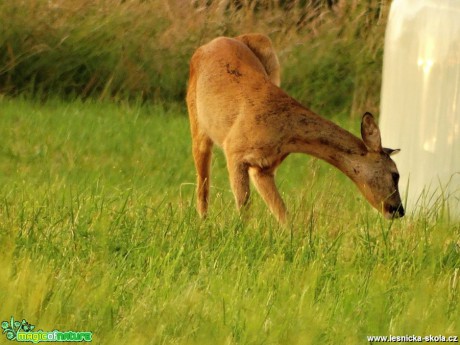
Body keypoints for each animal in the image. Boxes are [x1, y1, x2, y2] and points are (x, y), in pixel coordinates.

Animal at [185, 33, 404, 222]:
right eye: (395, 174)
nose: (399, 210)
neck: (285, 131)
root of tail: (215, 41)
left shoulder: (263, 167)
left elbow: (284, 215)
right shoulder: (234, 150)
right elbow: (244, 209)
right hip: (197, 123)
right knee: (202, 184)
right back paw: (203, 222)